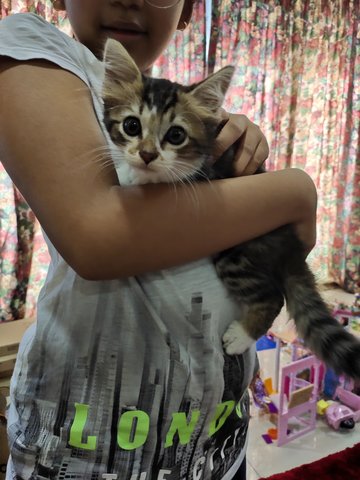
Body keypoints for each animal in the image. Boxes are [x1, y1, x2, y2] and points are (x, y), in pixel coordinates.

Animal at [99, 39, 360, 380]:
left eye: (176, 135)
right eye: (131, 126)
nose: (146, 155)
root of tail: (292, 250)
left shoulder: (200, 175)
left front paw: (136, 176)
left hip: (237, 253)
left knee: (272, 296)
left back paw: (242, 335)